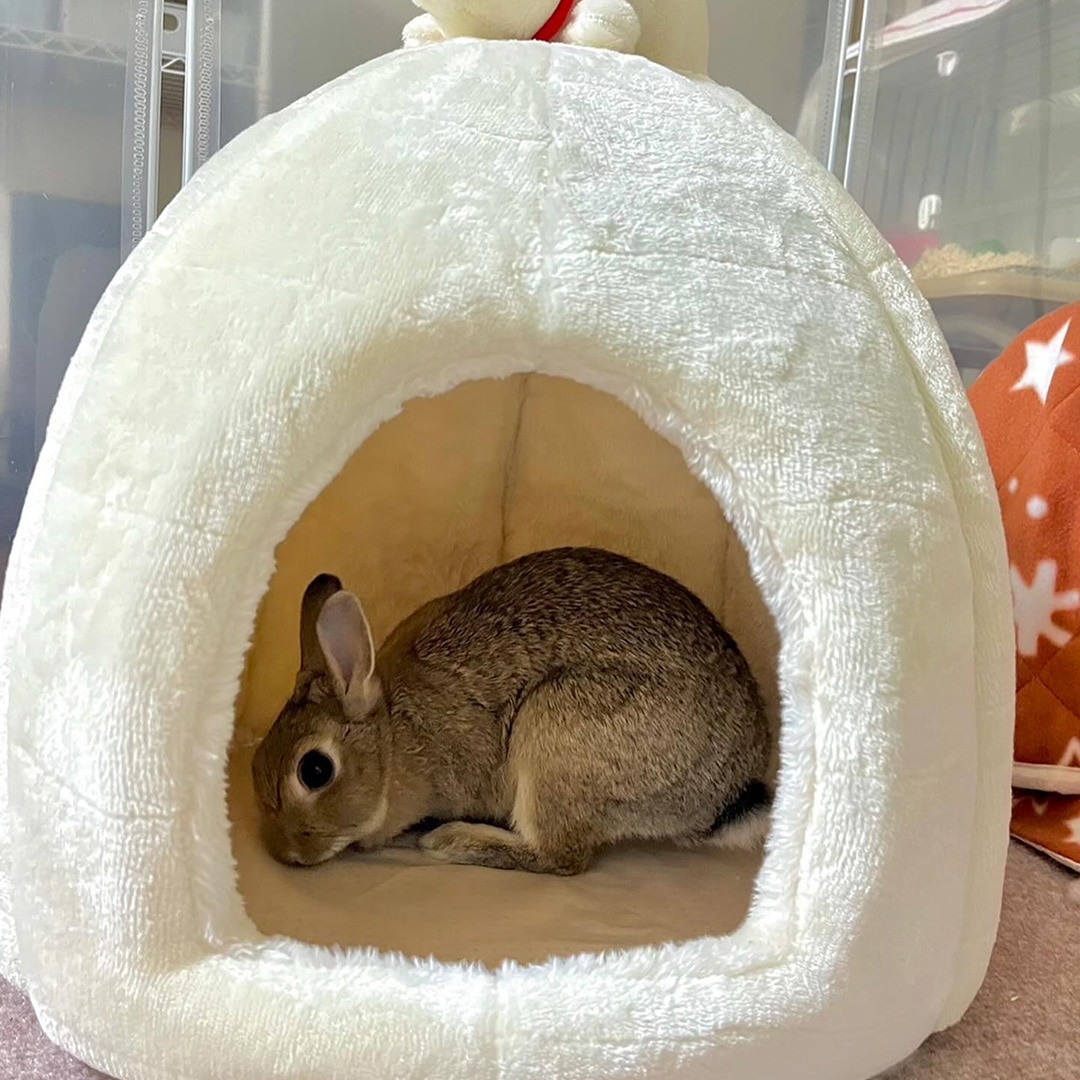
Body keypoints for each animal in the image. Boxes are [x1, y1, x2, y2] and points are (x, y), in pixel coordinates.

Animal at [252, 547, 772, 876]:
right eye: (254, 762)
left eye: (314, 770)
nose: (287, 854)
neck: (394, 738)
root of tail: (726, 794)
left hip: (556, 730)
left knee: (561, 858)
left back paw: (451, 840)